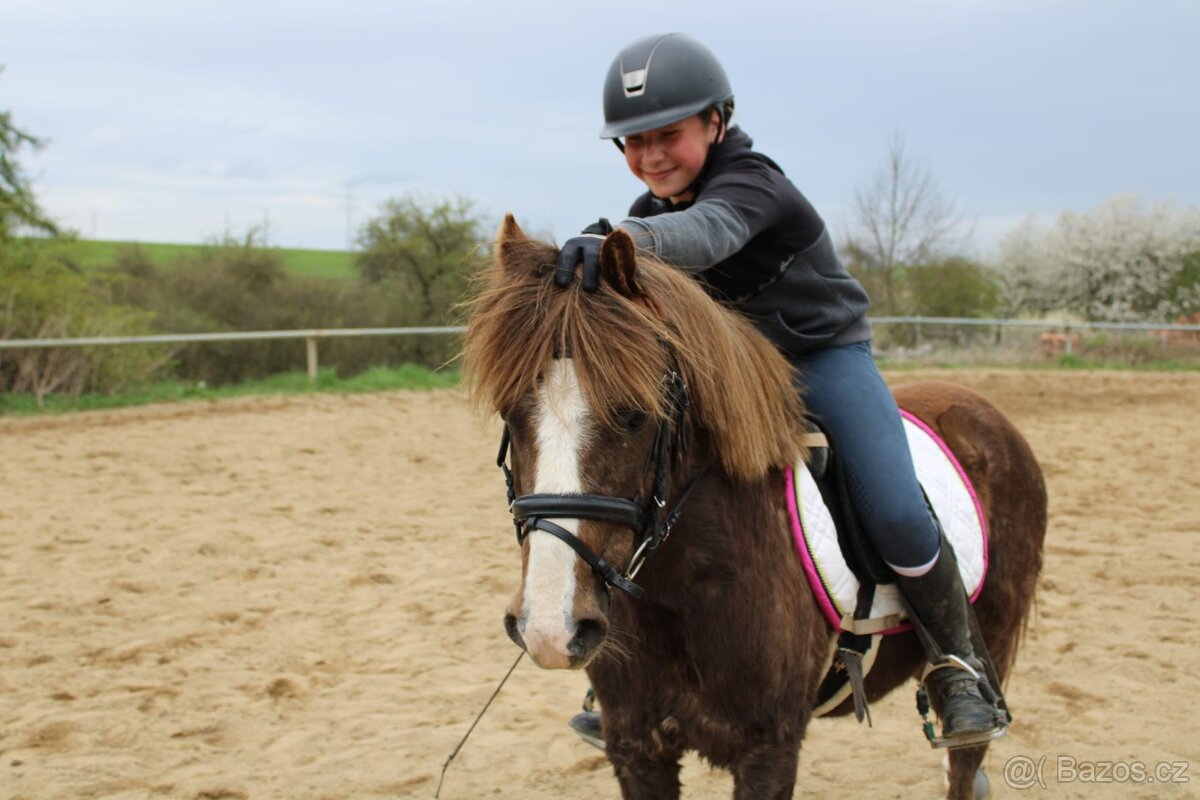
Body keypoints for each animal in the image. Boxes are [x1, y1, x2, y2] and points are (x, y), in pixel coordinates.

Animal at [462, 215, 1047, 800]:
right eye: (510, 412)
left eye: (634, 414)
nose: (550, 628)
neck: (683, 589)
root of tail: (982, 409)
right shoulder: (636, 746)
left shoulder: (769, 751)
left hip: (989, 636)